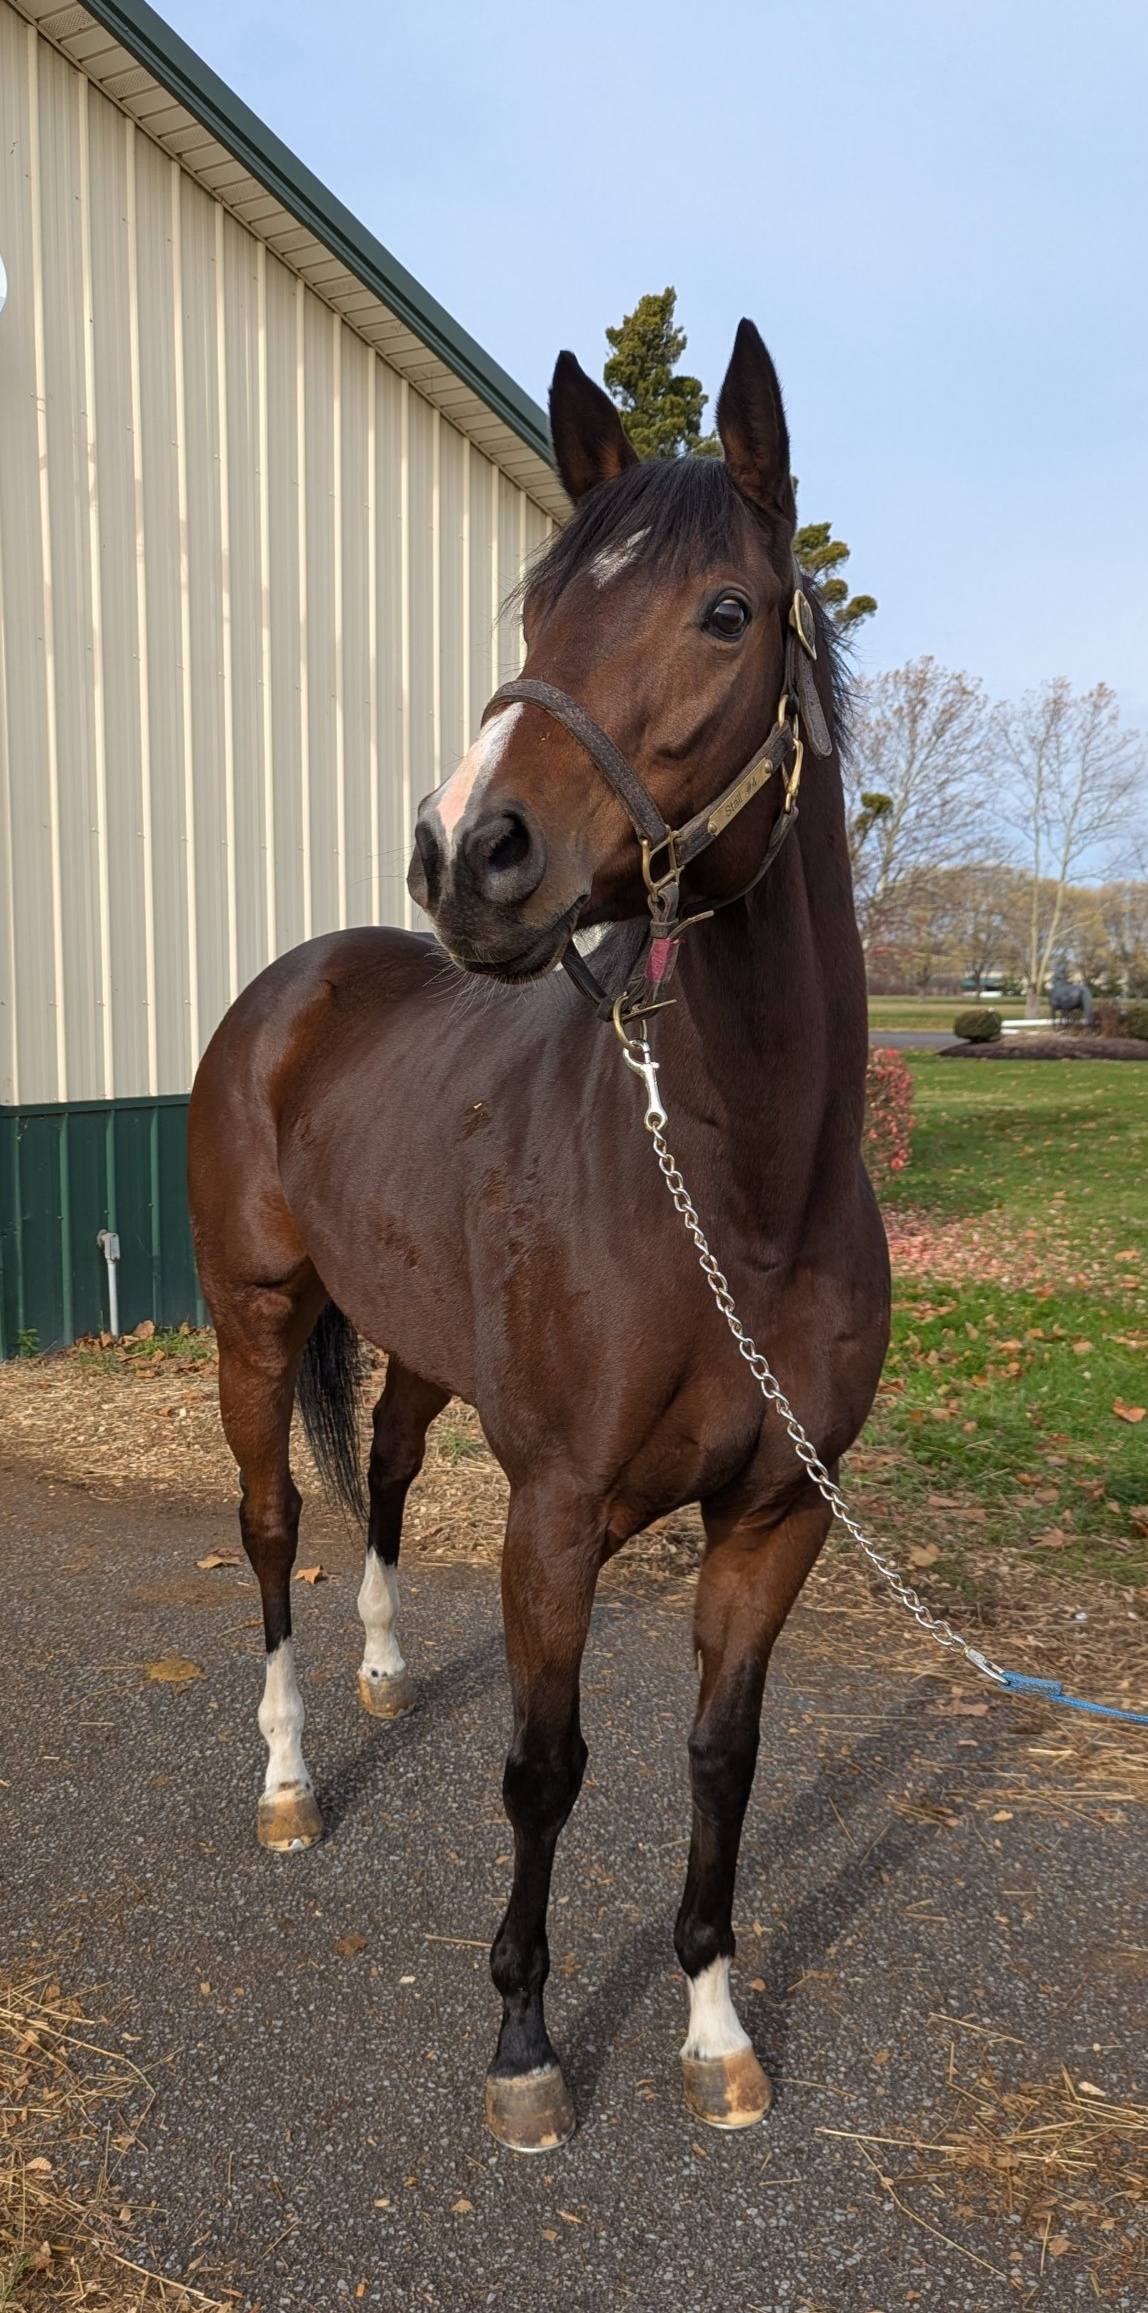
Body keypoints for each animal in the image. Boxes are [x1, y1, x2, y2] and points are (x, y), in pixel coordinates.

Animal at [188, 320, 890, 2153]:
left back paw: (377, 1675)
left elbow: (721, 1758)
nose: (465, 851)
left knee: (384, 1469)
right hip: (253, 1318)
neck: (734, 1197)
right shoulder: (559, 1509)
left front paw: (713, 2023)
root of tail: (293, 986)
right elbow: (547, 1768)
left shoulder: (778, 1512)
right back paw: (291, 1774)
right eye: (539, 613)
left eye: (726, 609)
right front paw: (521, 2038)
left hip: (419, 1344)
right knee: (276, 1525)